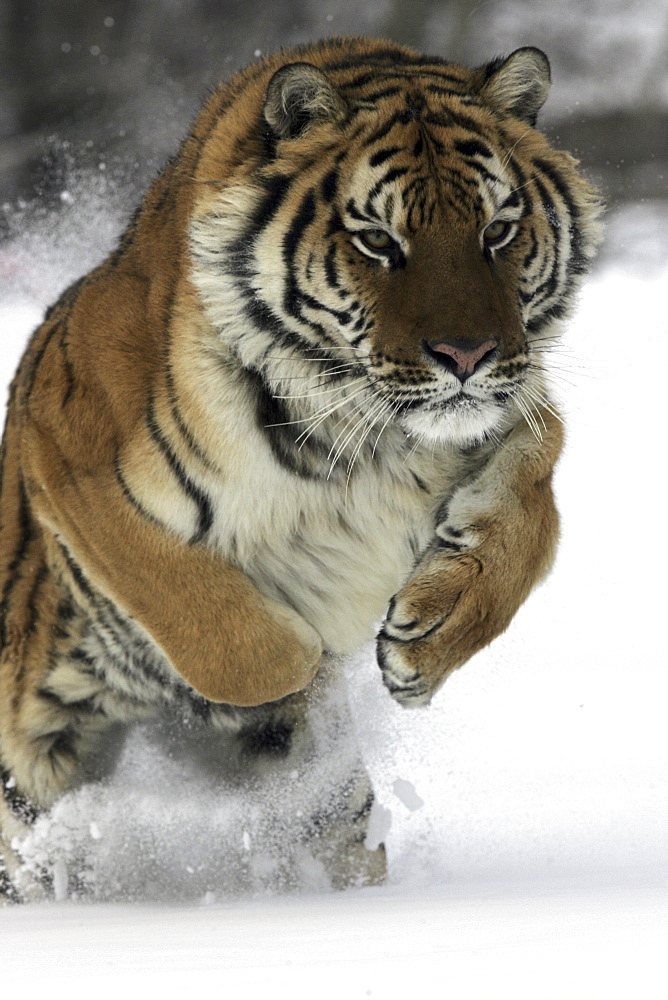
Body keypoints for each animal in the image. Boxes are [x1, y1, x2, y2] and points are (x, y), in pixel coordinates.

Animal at [0, 37, 604, 900]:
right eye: (379, 240)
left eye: (497, 230)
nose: (467, 356)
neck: (372, 433)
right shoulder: (66, 447)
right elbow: (216, 624)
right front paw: (297, 661)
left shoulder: (516, 408)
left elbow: (530, 514)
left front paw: (426, 642)